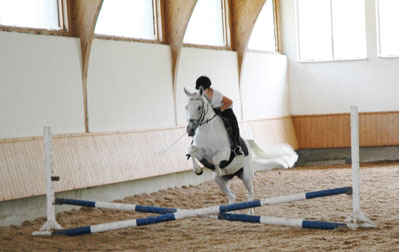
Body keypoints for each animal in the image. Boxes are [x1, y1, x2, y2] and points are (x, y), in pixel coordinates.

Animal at [186, 87, 298, 215]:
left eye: (199, 107)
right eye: (186, 107)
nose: (190, 130)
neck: (207, 130)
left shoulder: (224, 153)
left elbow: (216, 159)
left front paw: (219, 170)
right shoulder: (201, 153)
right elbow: (192, 151)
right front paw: (198, 170)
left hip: (246, 176)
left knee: (250, 192)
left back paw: (251, 212)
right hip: (220, 181)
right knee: (232, 196)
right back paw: (229, 212)